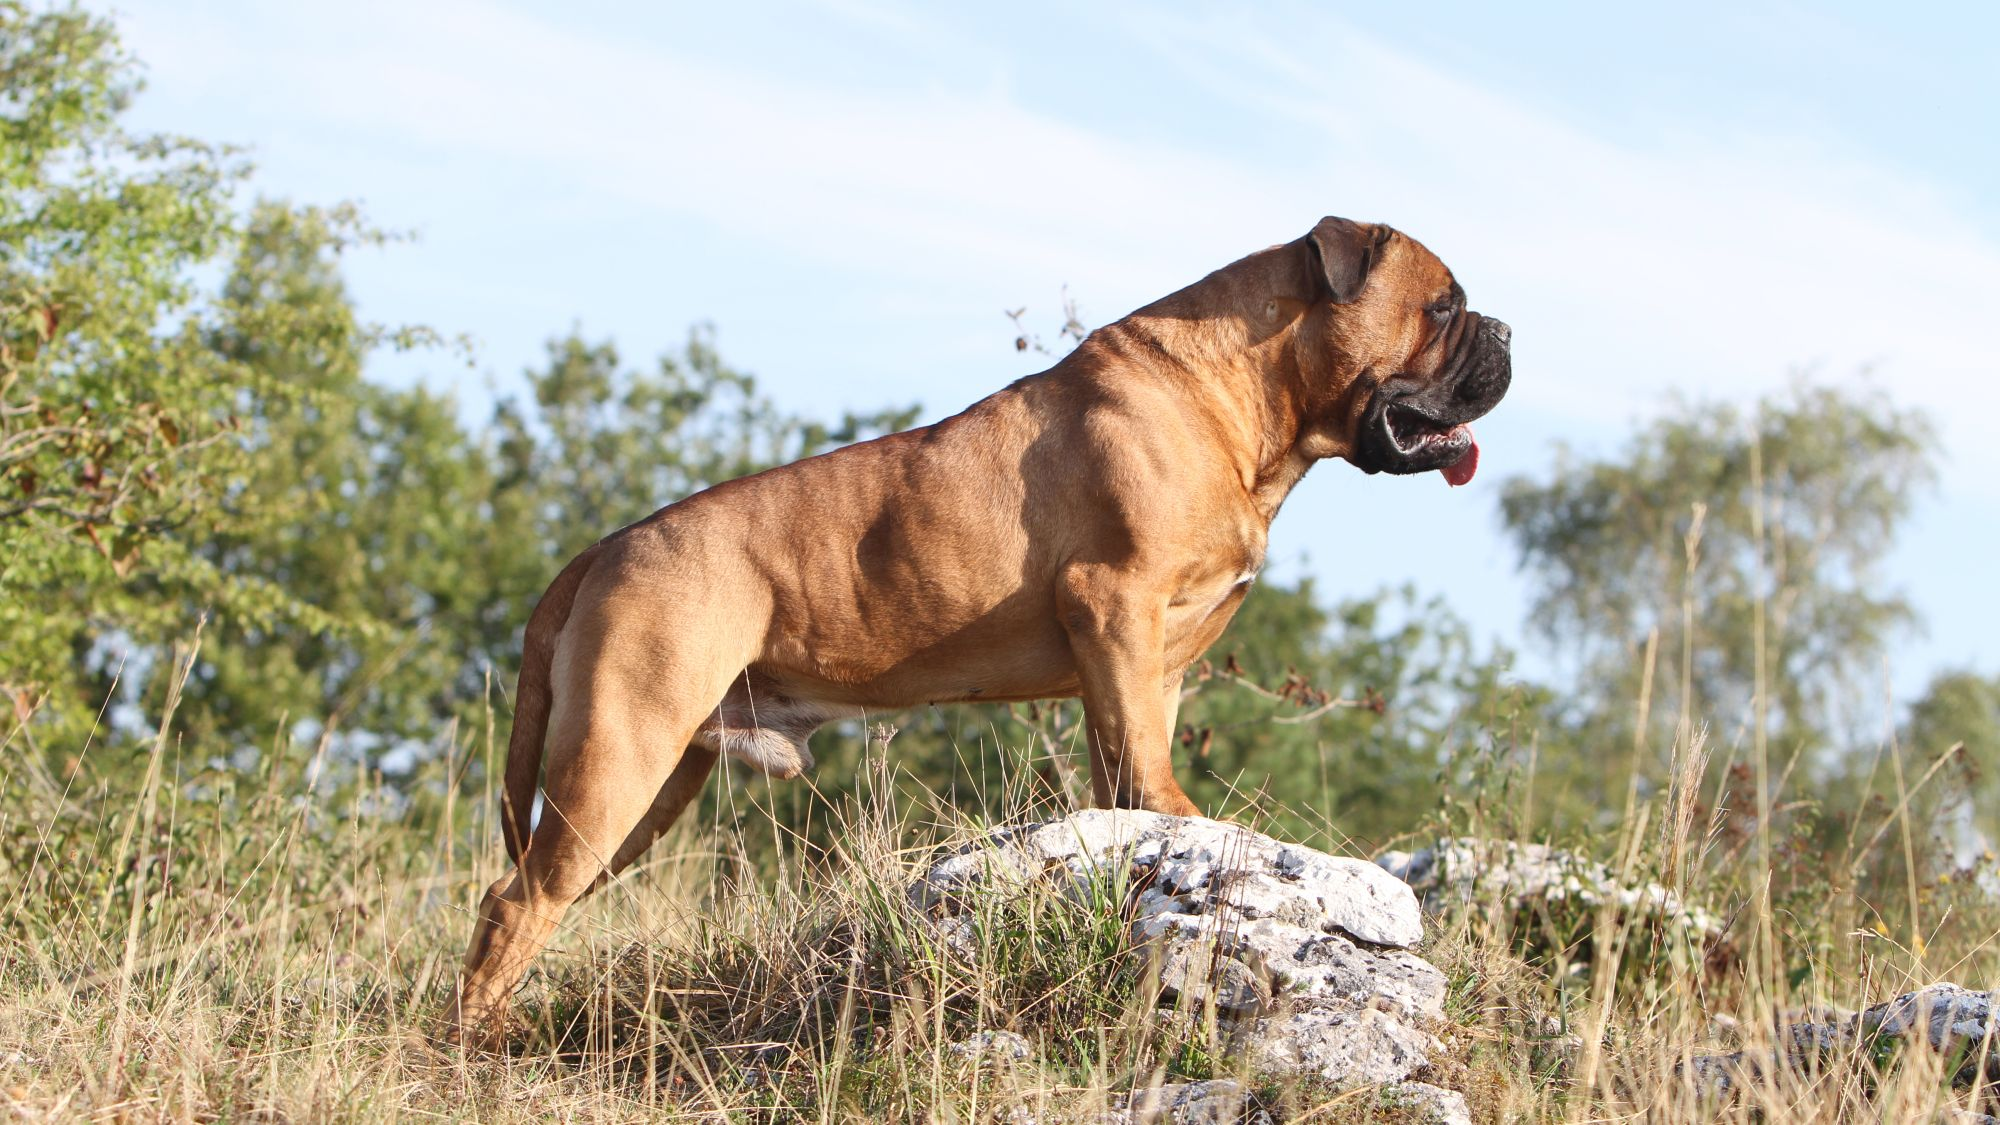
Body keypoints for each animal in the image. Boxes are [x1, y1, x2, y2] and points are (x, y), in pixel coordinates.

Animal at [450, 212, 1512, 1040]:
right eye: (1443, 307)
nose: (1504, 327)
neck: (1247, 398)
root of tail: (607, 545)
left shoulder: (1149, 657)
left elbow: (1126, 753)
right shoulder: (1115, 601)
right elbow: (1145, 754)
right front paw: (1184, 819)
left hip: (653, 780)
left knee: (534, 900)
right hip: (619, 752)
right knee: (515, 903)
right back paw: (476, 1045)